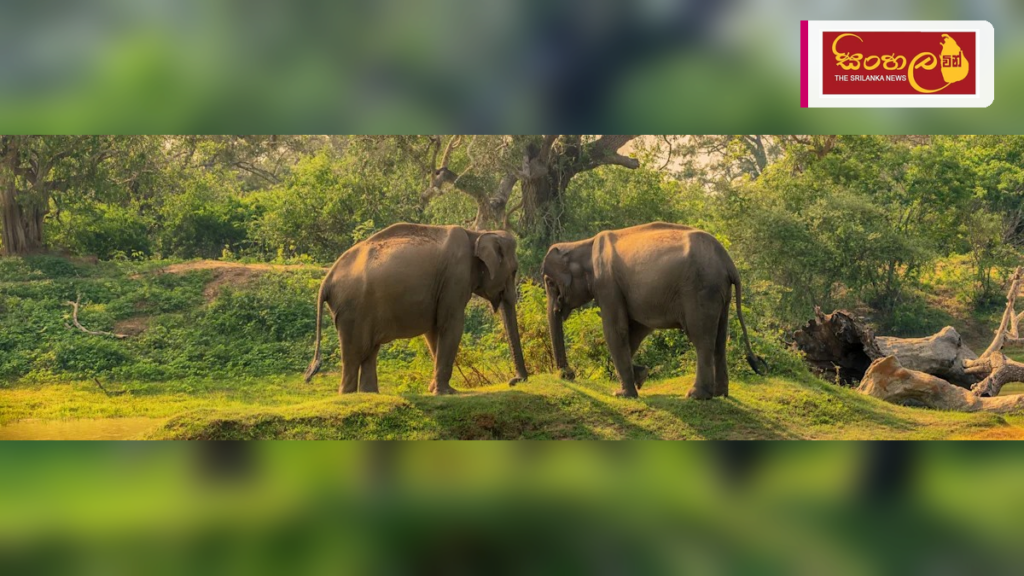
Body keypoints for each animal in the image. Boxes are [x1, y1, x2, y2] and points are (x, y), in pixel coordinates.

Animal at [304, 223, 528, 395]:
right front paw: (447, 392)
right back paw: (350, 396)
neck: (477, 233)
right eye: (514, 270)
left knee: (369, 351)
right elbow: (451, 325)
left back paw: (370, 394)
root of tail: (326, 281)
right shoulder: (455, 277)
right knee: (354, 353)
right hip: (352, 309)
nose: (514, 380)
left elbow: (434, 330)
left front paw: (434, 389)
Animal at [542, 222, 765, 399]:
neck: (581, 244)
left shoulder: (607, 284)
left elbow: (615, 330)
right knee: (720, 338)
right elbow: (637, 330)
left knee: (702, 338)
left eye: (549, 282)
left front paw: (622, 394)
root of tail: (729, 262)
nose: (568, 374)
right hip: (721, 293)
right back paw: (720, 394)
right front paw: (640, 376)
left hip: (701, 290)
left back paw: (696, 396)